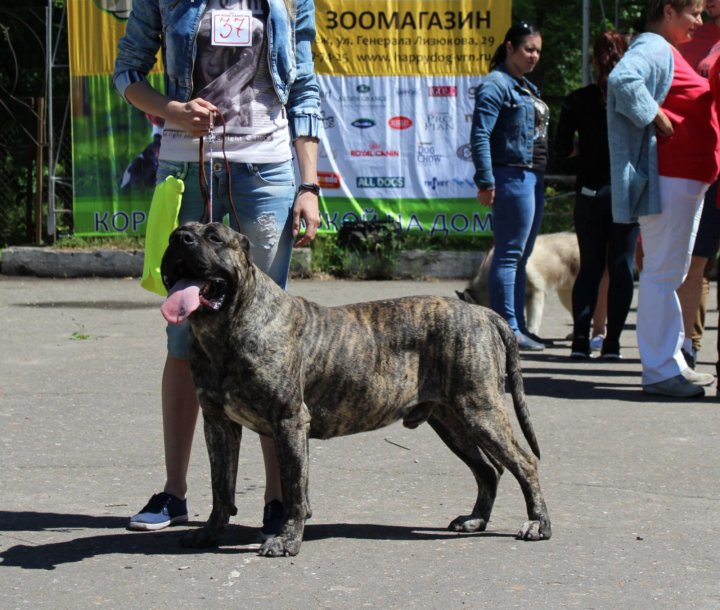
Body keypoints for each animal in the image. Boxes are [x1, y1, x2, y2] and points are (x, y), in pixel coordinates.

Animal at [162, 221, 552, 552]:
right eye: (176, 233)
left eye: (214, 237)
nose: (180, 238)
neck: (226, 328)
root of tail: (485, 313)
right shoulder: (218, 423)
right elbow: (221, 485)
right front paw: (211, 532)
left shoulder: (289, 421)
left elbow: (294, 488)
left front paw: (286, 539)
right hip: (451, 420)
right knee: (488, 470)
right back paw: (475, 520)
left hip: (480, 410)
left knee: (525, 462)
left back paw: (538, 524)